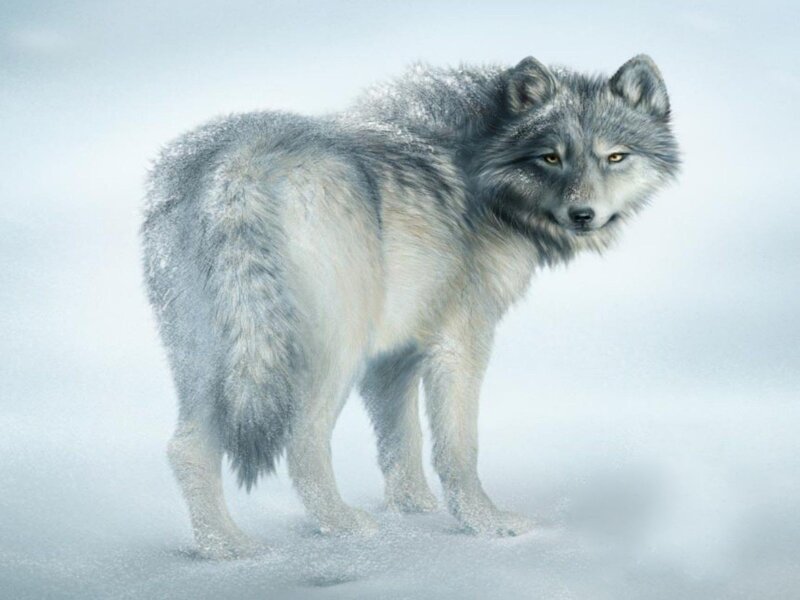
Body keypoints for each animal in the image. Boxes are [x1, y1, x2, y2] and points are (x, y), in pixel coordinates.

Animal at [142, 54, 679, 559]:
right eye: (550, 156)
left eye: (615, 157)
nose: (582, 214)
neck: (483, 162)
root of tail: (239, 163)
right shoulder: (460, 341)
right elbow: (457, 449)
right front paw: (485, 523)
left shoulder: (395, 355)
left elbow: (401, 441)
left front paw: (413, 506)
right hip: (332, 352)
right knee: (302, 440)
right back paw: (343, 526)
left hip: (212, 359)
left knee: (186, 447)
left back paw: (226, 548)